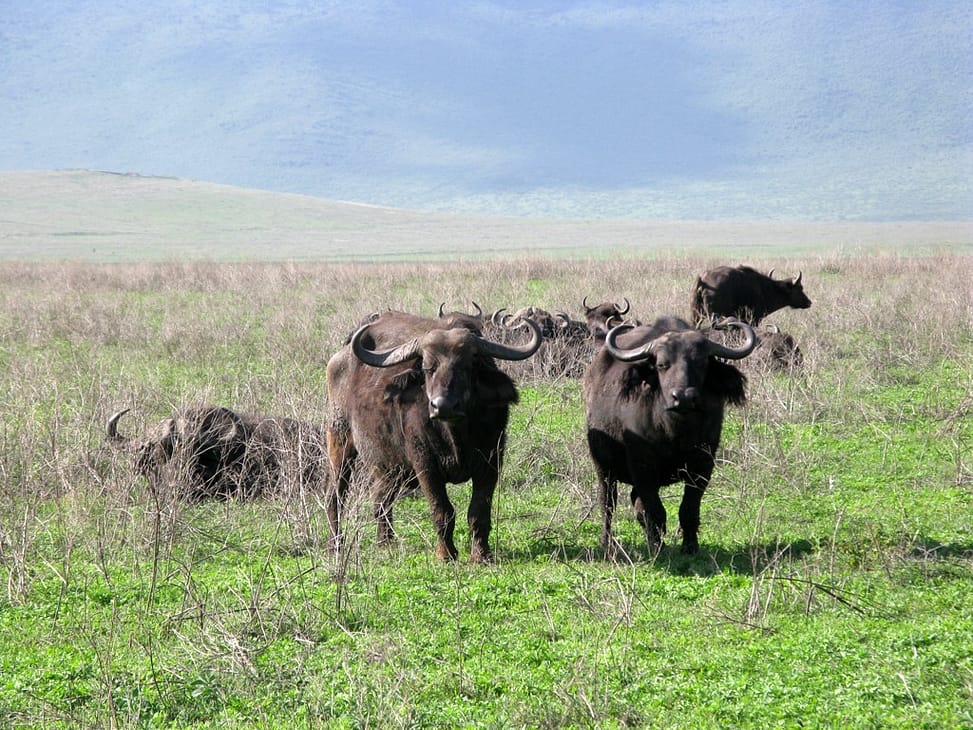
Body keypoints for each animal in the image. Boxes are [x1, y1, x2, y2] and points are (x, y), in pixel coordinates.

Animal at [324, 310, 542, 562]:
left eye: (467, 367)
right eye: (428, 368)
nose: (443, 405)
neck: (455, 435)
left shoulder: (491, 461)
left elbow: (479, 511)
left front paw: (481, 555)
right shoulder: (425, 465)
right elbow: (442, 511)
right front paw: (445, 554)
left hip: (387, 466)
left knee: (381, 498)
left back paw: (386, 543)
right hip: (339, 439)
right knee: (335, 495)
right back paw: (335, 544)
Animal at [582, 316, 757, 556]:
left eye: (700, 363)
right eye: (662, 365)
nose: (683, 397)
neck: (675, 433)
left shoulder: (703, 467)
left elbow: (688, 509)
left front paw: (690, 546)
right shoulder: (642, 467)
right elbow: (654, 510)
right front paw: (657, 548)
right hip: (604, 468)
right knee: (608, 503)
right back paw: (606, 542)